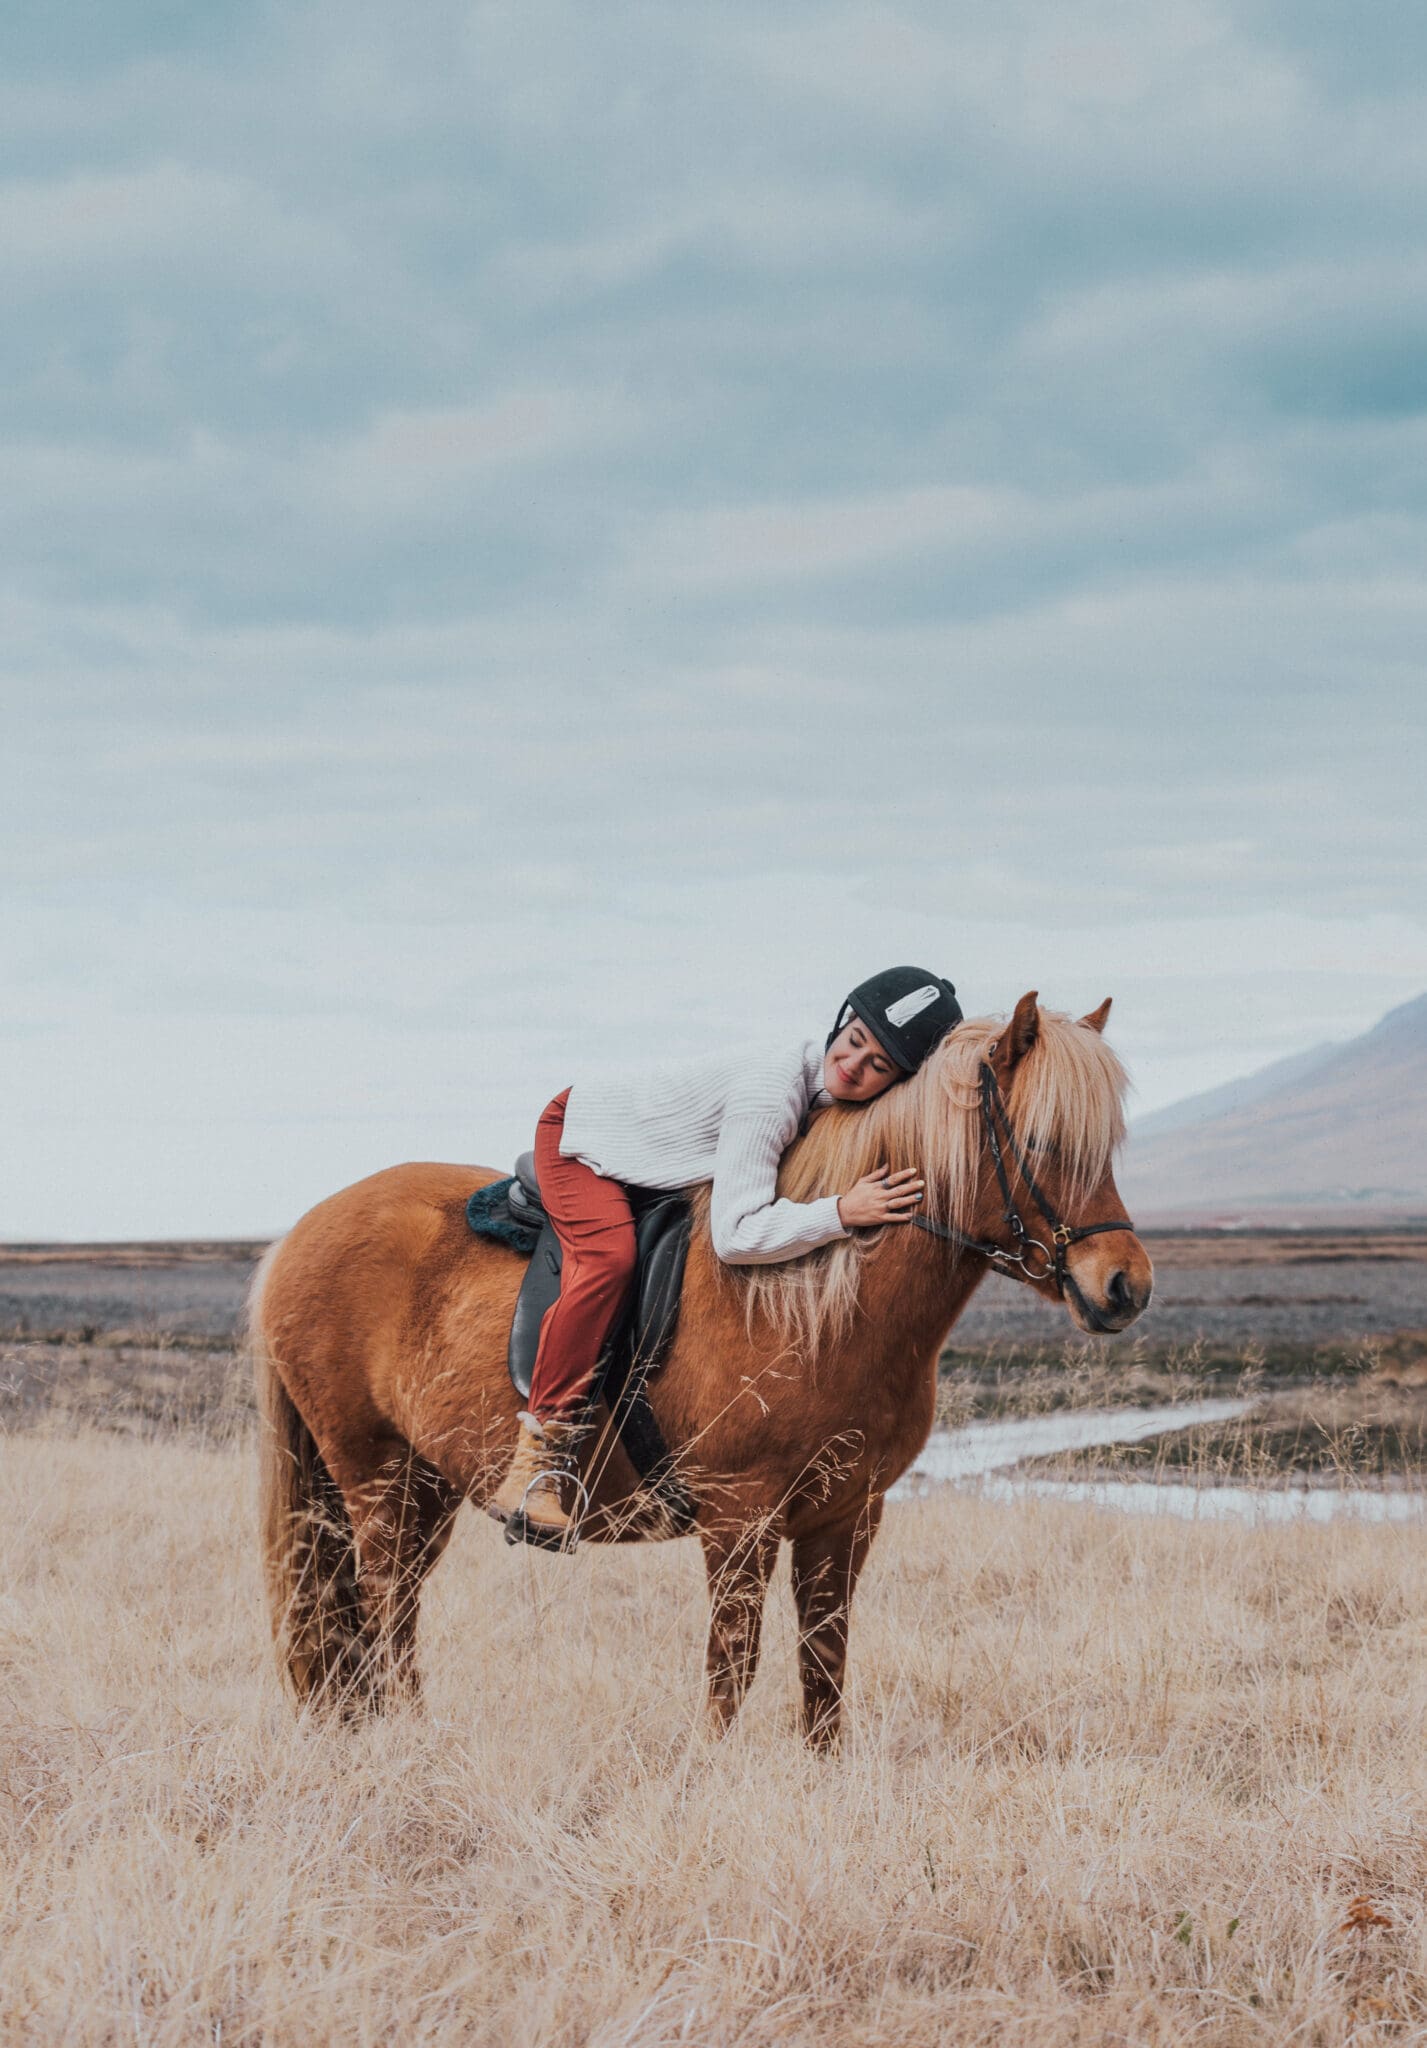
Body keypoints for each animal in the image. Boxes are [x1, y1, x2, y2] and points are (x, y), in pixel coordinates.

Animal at [252, 991, 1153, 1749]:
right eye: (1038, 1142)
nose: (1125, 1286)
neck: (814, 1306)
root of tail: (300, 1231)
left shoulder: (845, 1518)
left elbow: (823, 1665)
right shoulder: (738, 1520)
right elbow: (732, 1667)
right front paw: (708, 1775)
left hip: (425, 1484)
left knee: (384, 1608)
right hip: (372, 1474)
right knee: (384, 1605)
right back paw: (413, 1738)